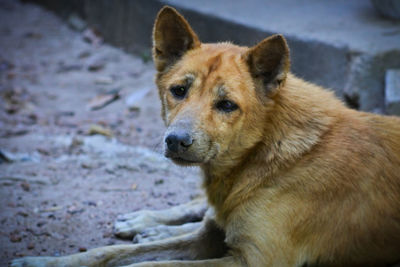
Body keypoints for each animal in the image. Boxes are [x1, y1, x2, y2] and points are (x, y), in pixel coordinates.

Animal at [10, 5, 400, 267]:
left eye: (227, 105)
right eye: (178, 90)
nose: (176, 141)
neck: (264, 153)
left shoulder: (253, 259)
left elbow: (148, 263)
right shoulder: (213, 243)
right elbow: (110, 252)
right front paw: (44, 262)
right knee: (199, 215)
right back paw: (147, 222)